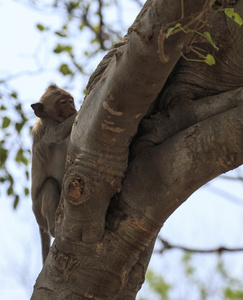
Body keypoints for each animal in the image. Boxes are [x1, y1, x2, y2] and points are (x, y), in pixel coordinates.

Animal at [30, 83, 77, 264]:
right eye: (62, 102)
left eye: (71, 100)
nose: (72, 107)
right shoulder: (47, 128)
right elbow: (57, 134)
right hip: (38, 209)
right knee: (49, 185)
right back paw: (53, 229)